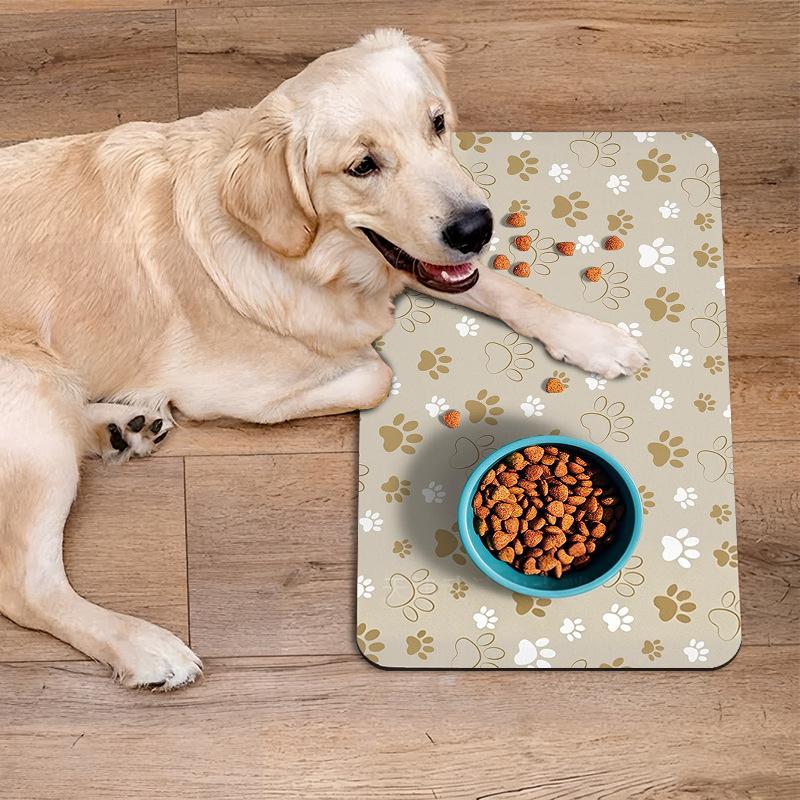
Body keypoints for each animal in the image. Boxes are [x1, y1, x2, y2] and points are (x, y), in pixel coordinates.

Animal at [0, 29, 647, 689]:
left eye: (438, 123)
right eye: (362, 166)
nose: (476, 228)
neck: (324, 260)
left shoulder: (423, 263)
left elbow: (505, 289)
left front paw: (593, 338)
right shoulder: (230, 388)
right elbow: (377, 371)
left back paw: (121, 427)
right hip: (29, 390)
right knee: (26, 588)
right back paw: (144, 646)